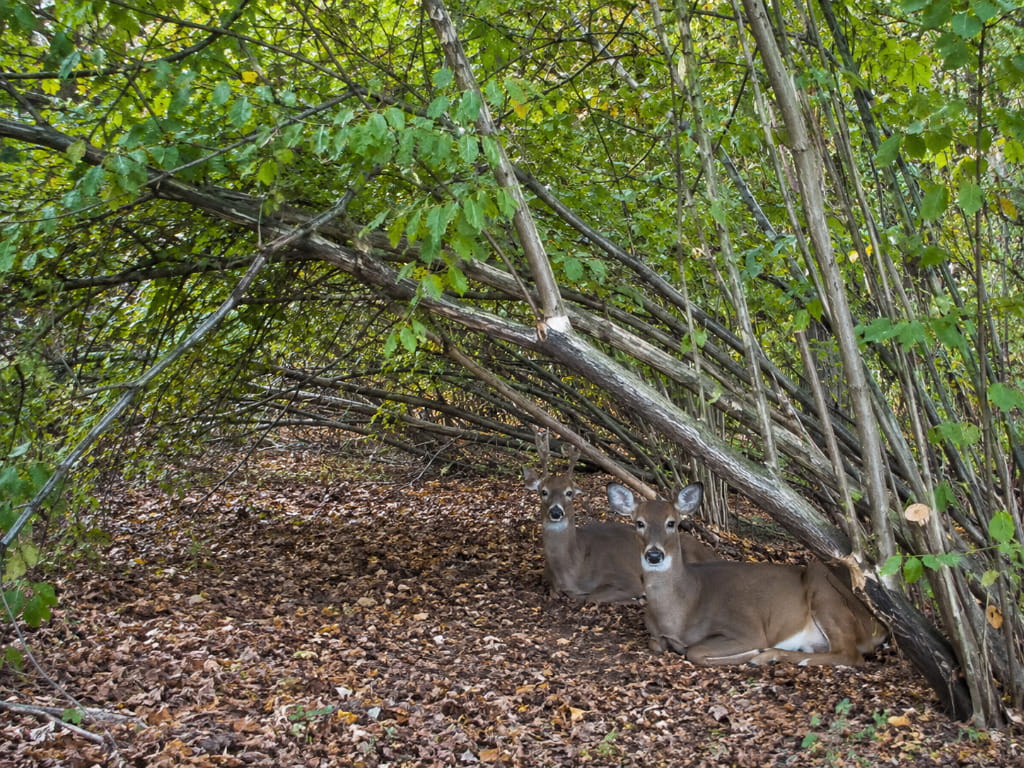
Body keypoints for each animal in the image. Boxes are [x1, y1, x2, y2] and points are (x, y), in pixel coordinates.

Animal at [523, 430, 715, 603]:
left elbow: (592, 597)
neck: (573, 567)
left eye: (569, 493)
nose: (556, 512)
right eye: (543, 492)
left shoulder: (626, 578)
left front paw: (638, 597)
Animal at [607, 481, 887, 665]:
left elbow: (695, 652)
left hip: (825, 588)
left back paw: (768, 656)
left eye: (671, 523)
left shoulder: (746, 629)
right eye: (639, 523)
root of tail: (880, 626)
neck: (682, 611)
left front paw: (752, 654)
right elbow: (656, 643)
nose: (654, 555)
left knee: (850, 655)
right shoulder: (656, 634)